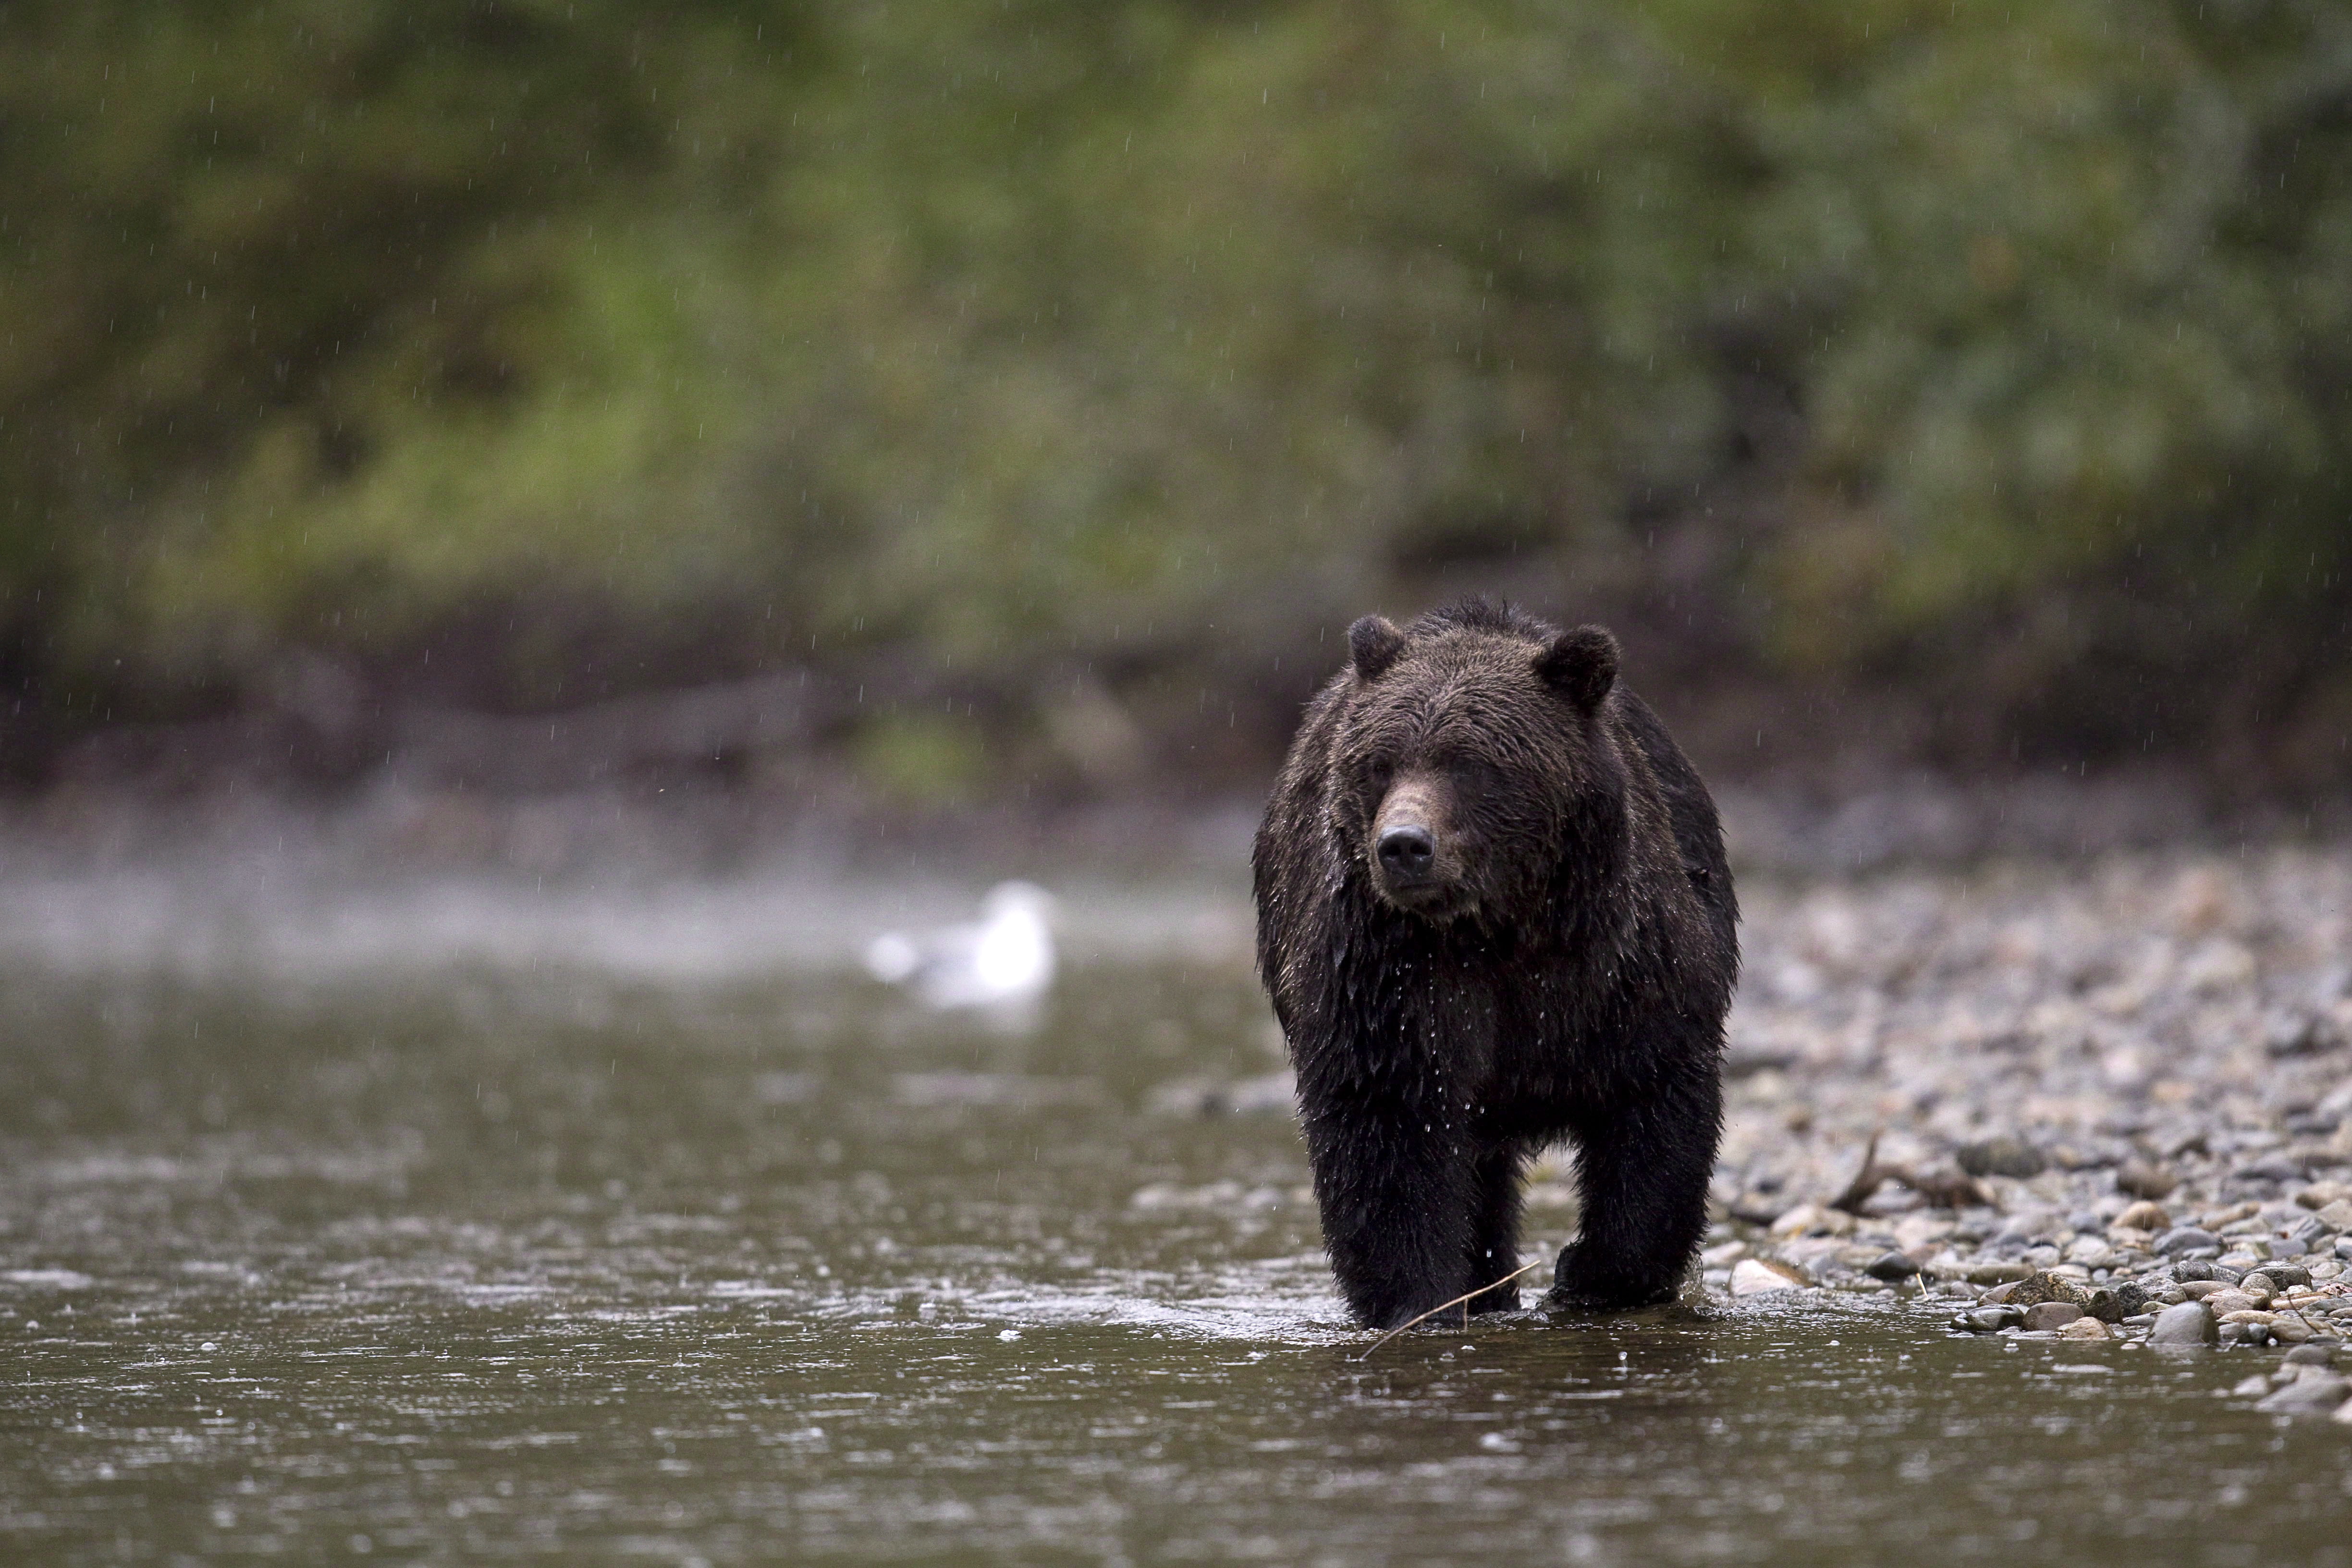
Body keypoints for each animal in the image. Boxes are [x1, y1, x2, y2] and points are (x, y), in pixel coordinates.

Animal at [1261, 597, 1740, 1325]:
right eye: (1380, 763)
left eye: (1470, 762)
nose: (1405, 845)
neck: (1498, 926)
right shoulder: (1385, 972)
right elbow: (1387, 1125)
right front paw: (1421, 1297)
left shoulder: (1626, 964)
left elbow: (1655, 1103)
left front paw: (1591, 1272)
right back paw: (1487, 1285)